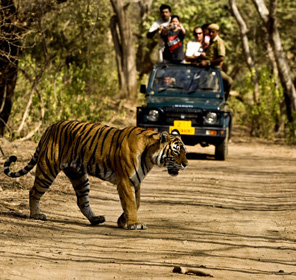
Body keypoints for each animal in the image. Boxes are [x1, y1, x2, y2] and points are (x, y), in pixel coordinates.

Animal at [3, 120, 187, 230]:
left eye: (185, 151)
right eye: (176, 151)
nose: (186, 164)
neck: (150, 156)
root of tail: (50, 126)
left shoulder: (137, 182)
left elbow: (136, 203)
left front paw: (123, 221)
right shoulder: (126, 181)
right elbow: (130, 203)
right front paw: (134, 224)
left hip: (79, 176)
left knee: (82, 201)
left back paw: (96, 219)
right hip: (48, 169)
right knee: (34, 191)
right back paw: (36, 215)